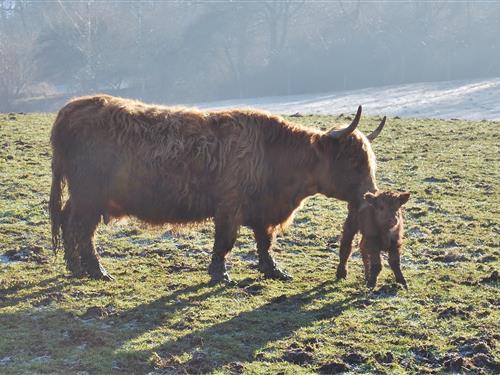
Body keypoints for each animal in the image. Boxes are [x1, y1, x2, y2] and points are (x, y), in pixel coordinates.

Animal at [50, 95, 384, 284]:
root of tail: (71, 108)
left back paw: (74, 267)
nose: (370, 196)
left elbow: (265, 242)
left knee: (67, 220)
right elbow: (224, 243)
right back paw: (96, 271)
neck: (272, 154)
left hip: (82, 196)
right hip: (90, 196)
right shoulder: (229, 208)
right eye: (354, 162)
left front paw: (274, 271)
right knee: (82, 229)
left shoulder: (262, 211)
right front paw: (220, 275)